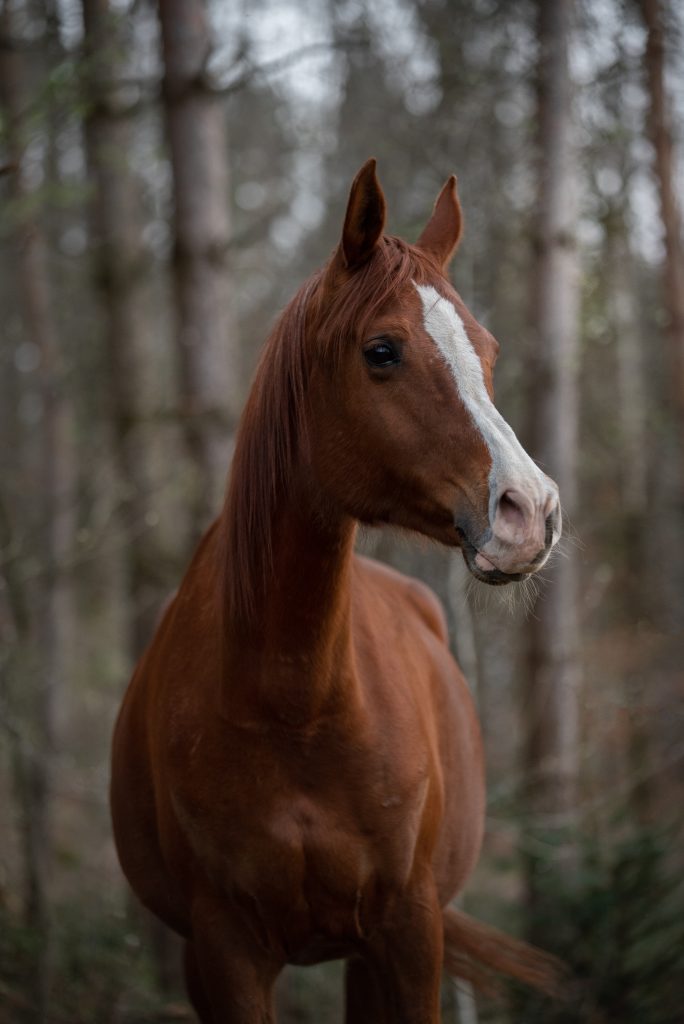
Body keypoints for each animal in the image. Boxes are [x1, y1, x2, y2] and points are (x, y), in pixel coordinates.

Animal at [111, 161, 561, 1024]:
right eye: (382, 351)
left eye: (486, 350)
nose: (532, 511)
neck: (296, 707)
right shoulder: (225, 952)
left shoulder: (410, 932)